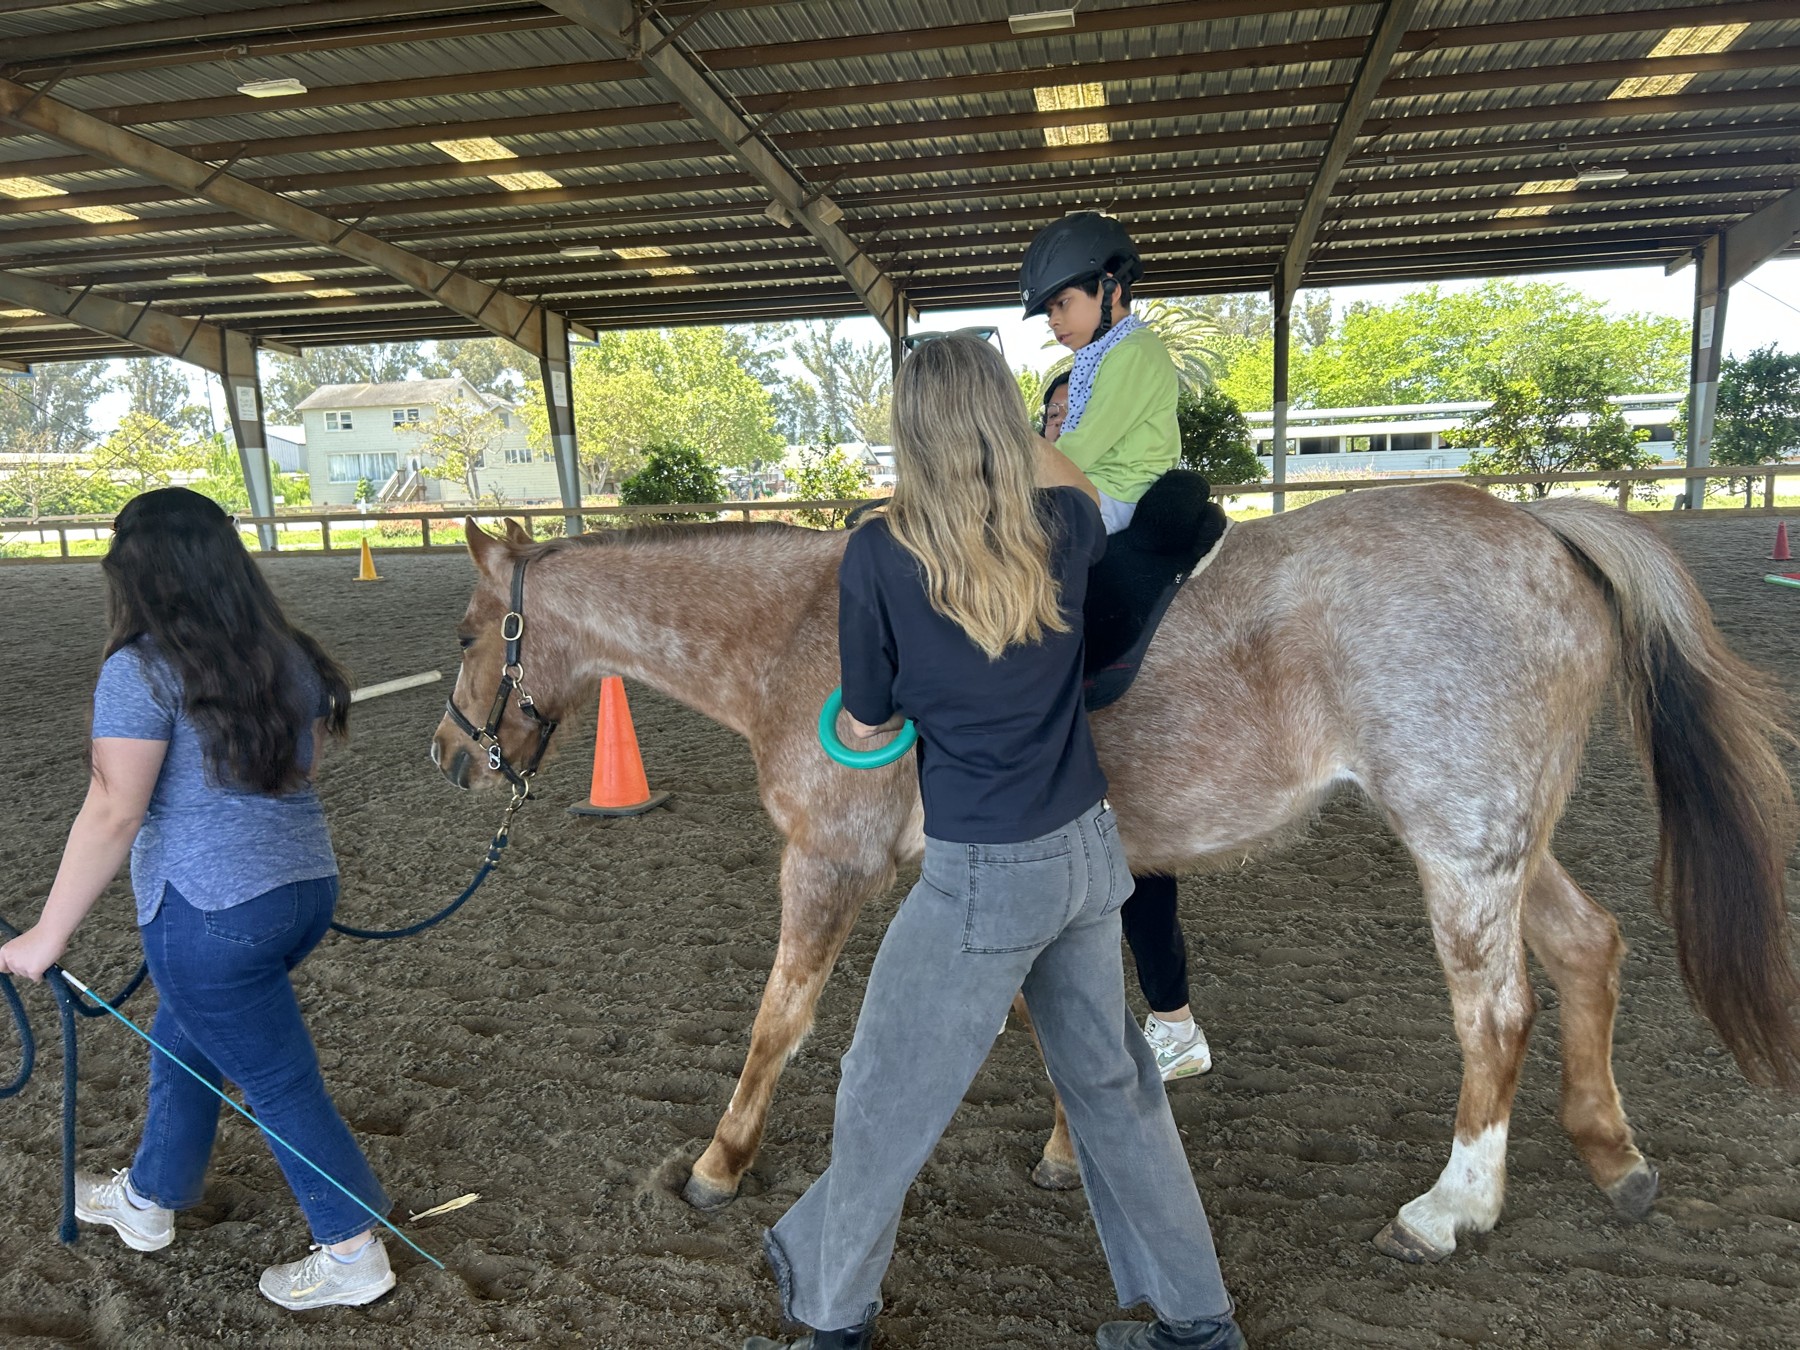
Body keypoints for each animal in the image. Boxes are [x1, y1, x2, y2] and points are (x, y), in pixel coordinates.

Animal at [430, 483, 1799, 1264]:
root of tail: (1545, 529)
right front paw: (1065, 1150)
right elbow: (1059, 1020)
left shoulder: (827, 860)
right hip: (1510, 840)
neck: (803, 632)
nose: (452, 758)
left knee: (1497, 1012)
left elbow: (781, 1021)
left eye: (468, 632)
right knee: (1590, 948)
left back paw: (1449, 1209)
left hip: (1459, 846)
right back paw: (1611, 1154)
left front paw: (719, 1165)